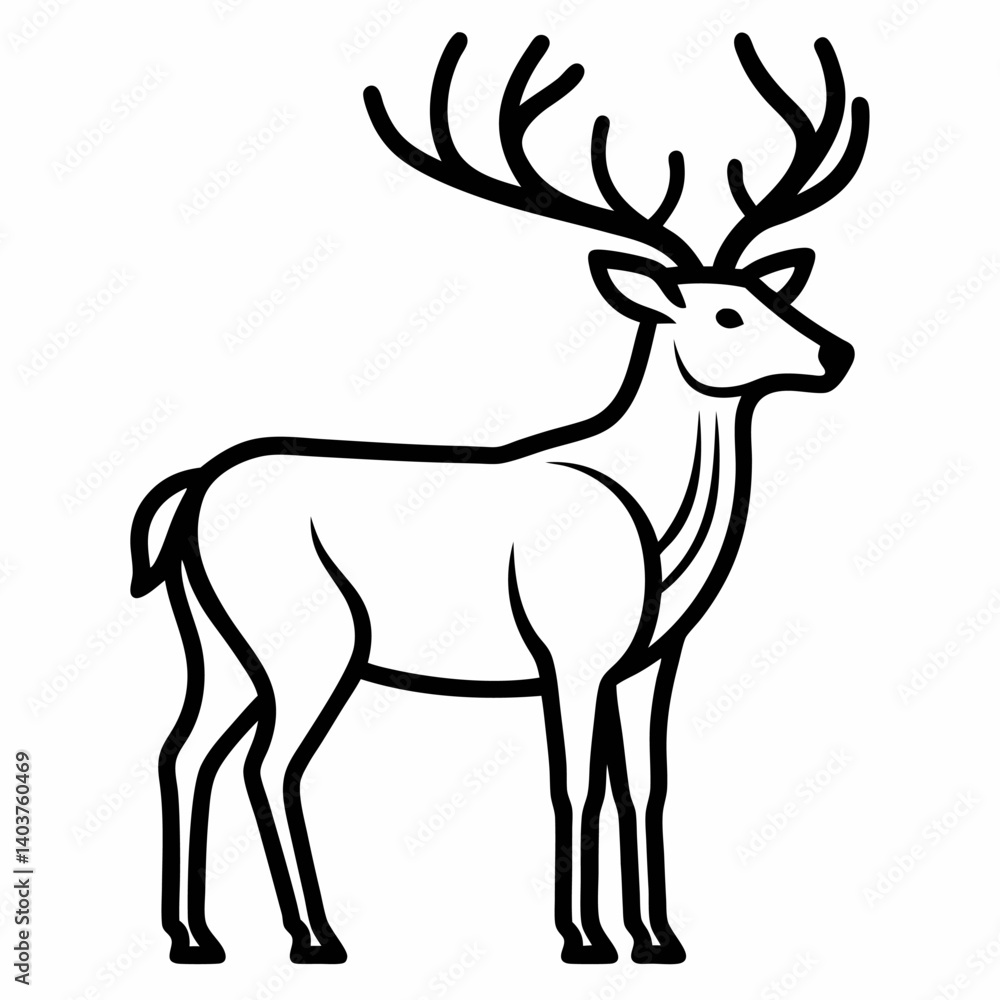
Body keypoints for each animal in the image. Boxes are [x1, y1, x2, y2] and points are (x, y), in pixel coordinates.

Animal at [130, 31, 868, 966]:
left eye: (774, 292)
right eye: (726, 316)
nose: (837, 353)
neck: (661, 535)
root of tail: (186, 492)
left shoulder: (652, 659)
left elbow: (647, 785)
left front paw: (658, 938)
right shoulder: (571, 647)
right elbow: (574, 784)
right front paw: (584, 939)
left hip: (217, 642)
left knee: (184, 751)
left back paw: (196, 937)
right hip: (307, 637)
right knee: (271, 762)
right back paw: (316, 936)